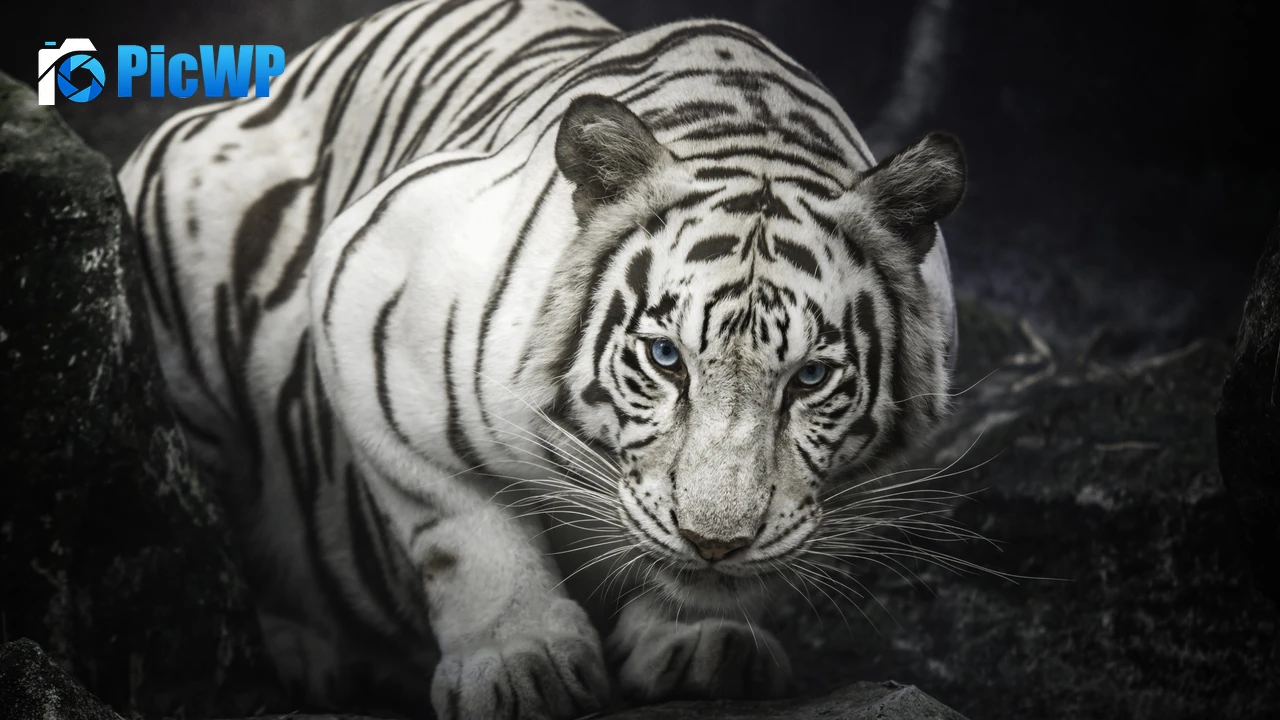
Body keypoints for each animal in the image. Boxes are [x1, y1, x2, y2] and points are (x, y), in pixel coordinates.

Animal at [117, 0, 967, 717]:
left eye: (811, 377)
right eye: (666, 358)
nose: (713, 542)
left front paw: (705, 639)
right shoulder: (366, 298)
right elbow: (461, 525)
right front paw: (520, 666)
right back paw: (300, 652)